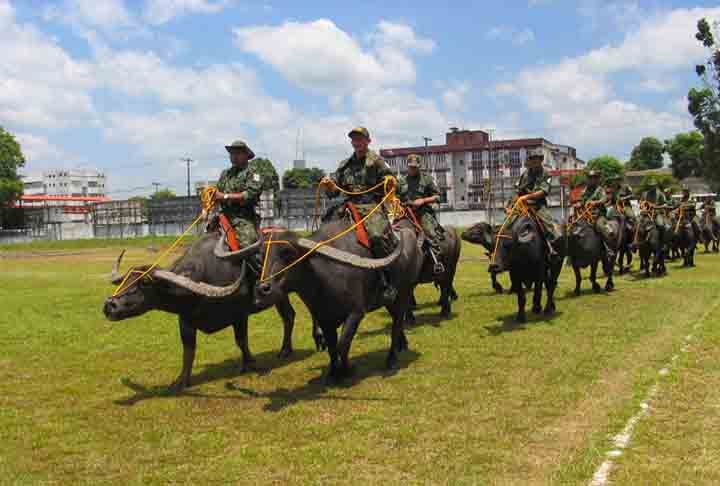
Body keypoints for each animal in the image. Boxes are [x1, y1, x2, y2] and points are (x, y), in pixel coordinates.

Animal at [102, 234, 316, 392]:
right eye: (126, 279)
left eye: (145, 282)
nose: (109, 305)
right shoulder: (186, 321)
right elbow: (188, 351)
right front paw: (182, 380)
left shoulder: (239, 315)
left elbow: (241, 340)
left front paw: (248, 364)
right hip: (279, 296)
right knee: (289, 316)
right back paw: (285, 350)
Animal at [255, 219, 424, 384]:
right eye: (262, 256)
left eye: (287, 252)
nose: (263, 290)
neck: (323, 276)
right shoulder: (323, 318)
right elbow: (331, 347)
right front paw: (333, 373)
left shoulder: (356, 313)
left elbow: (342, 344)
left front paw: (347, 369)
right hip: (389, 301)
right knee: (397, 320)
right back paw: (402, 345)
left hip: (403, 293)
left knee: (397, 323)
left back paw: (392, 359)